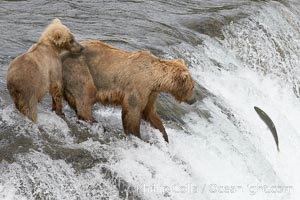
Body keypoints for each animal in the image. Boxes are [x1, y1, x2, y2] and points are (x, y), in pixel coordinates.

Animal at [63, 40, 195, 142]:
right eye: (193, 87)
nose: (194, 100)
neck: (154, 78)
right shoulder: (139, 86)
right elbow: (133, 111)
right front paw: (137, 135)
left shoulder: (151, 93)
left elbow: (150, 112)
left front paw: (164, 135)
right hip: (79, 68)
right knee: (86, 94)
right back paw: (96, 122)